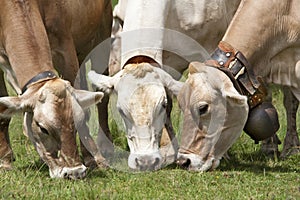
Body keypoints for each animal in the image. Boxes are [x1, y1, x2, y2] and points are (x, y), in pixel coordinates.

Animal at [0, 0, 112, 178]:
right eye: (42, 128)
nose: (75, 172)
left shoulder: (65, 49)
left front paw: (91, 159)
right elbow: (3, 115)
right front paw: (5, 160)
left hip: (101, 36)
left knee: (103, 99)